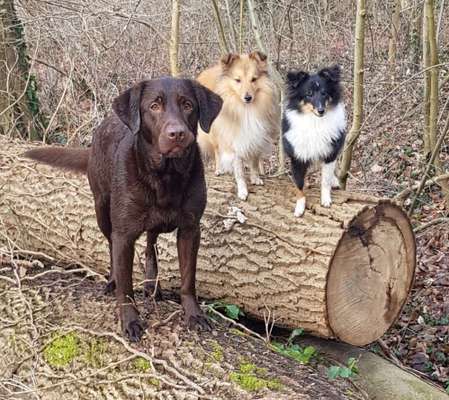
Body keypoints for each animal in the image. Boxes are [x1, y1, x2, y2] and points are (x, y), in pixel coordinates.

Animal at [25, 77, 221, 340]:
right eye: (154, 106)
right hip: (102, 209)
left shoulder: (190, 229)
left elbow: (188, 278)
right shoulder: (124, 234)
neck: (165, 177)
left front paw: (194, 315)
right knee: (110, 246)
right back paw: (112, 281)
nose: (177, 134)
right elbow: (126, 286)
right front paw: (130, 321)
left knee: (150, 246)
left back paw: (151, 286)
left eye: (188, 105)